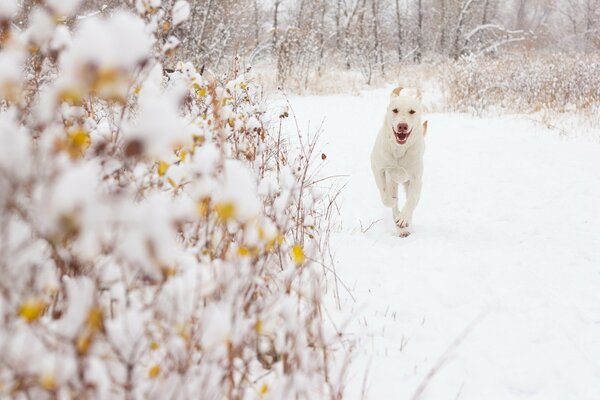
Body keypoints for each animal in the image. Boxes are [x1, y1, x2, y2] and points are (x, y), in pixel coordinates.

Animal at [370, 86, 426, 238]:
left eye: (412, 111)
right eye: (395, 110)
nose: (402, 126)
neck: (399, 149)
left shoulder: (416, 178)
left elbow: (412, 199)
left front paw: (404, 219)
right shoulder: (378, 168)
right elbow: (385, 194)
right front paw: (391, 201)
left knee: (412, 201)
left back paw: (404, 225)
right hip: (392, 181)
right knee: (394, 202)